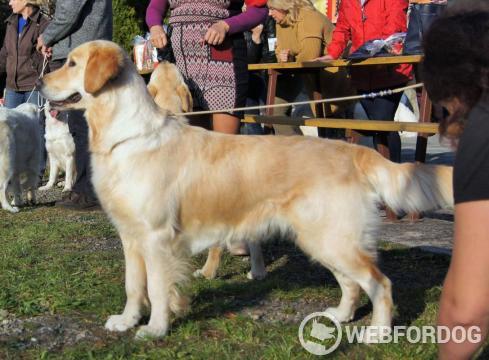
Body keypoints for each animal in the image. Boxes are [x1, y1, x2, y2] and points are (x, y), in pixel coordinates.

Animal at [39, 41, 454, 340]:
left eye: (72, 63)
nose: (40, 83)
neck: (125, 136)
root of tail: (352, 151)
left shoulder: (157, 238)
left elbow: (155, 288)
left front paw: (155, 328)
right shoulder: (131, 236)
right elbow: (132, 285)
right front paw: (127, 321)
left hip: (332, 238)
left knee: (380, 283)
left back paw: (378, 332)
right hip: (322, 239)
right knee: (352, 283)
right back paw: (338, 316)